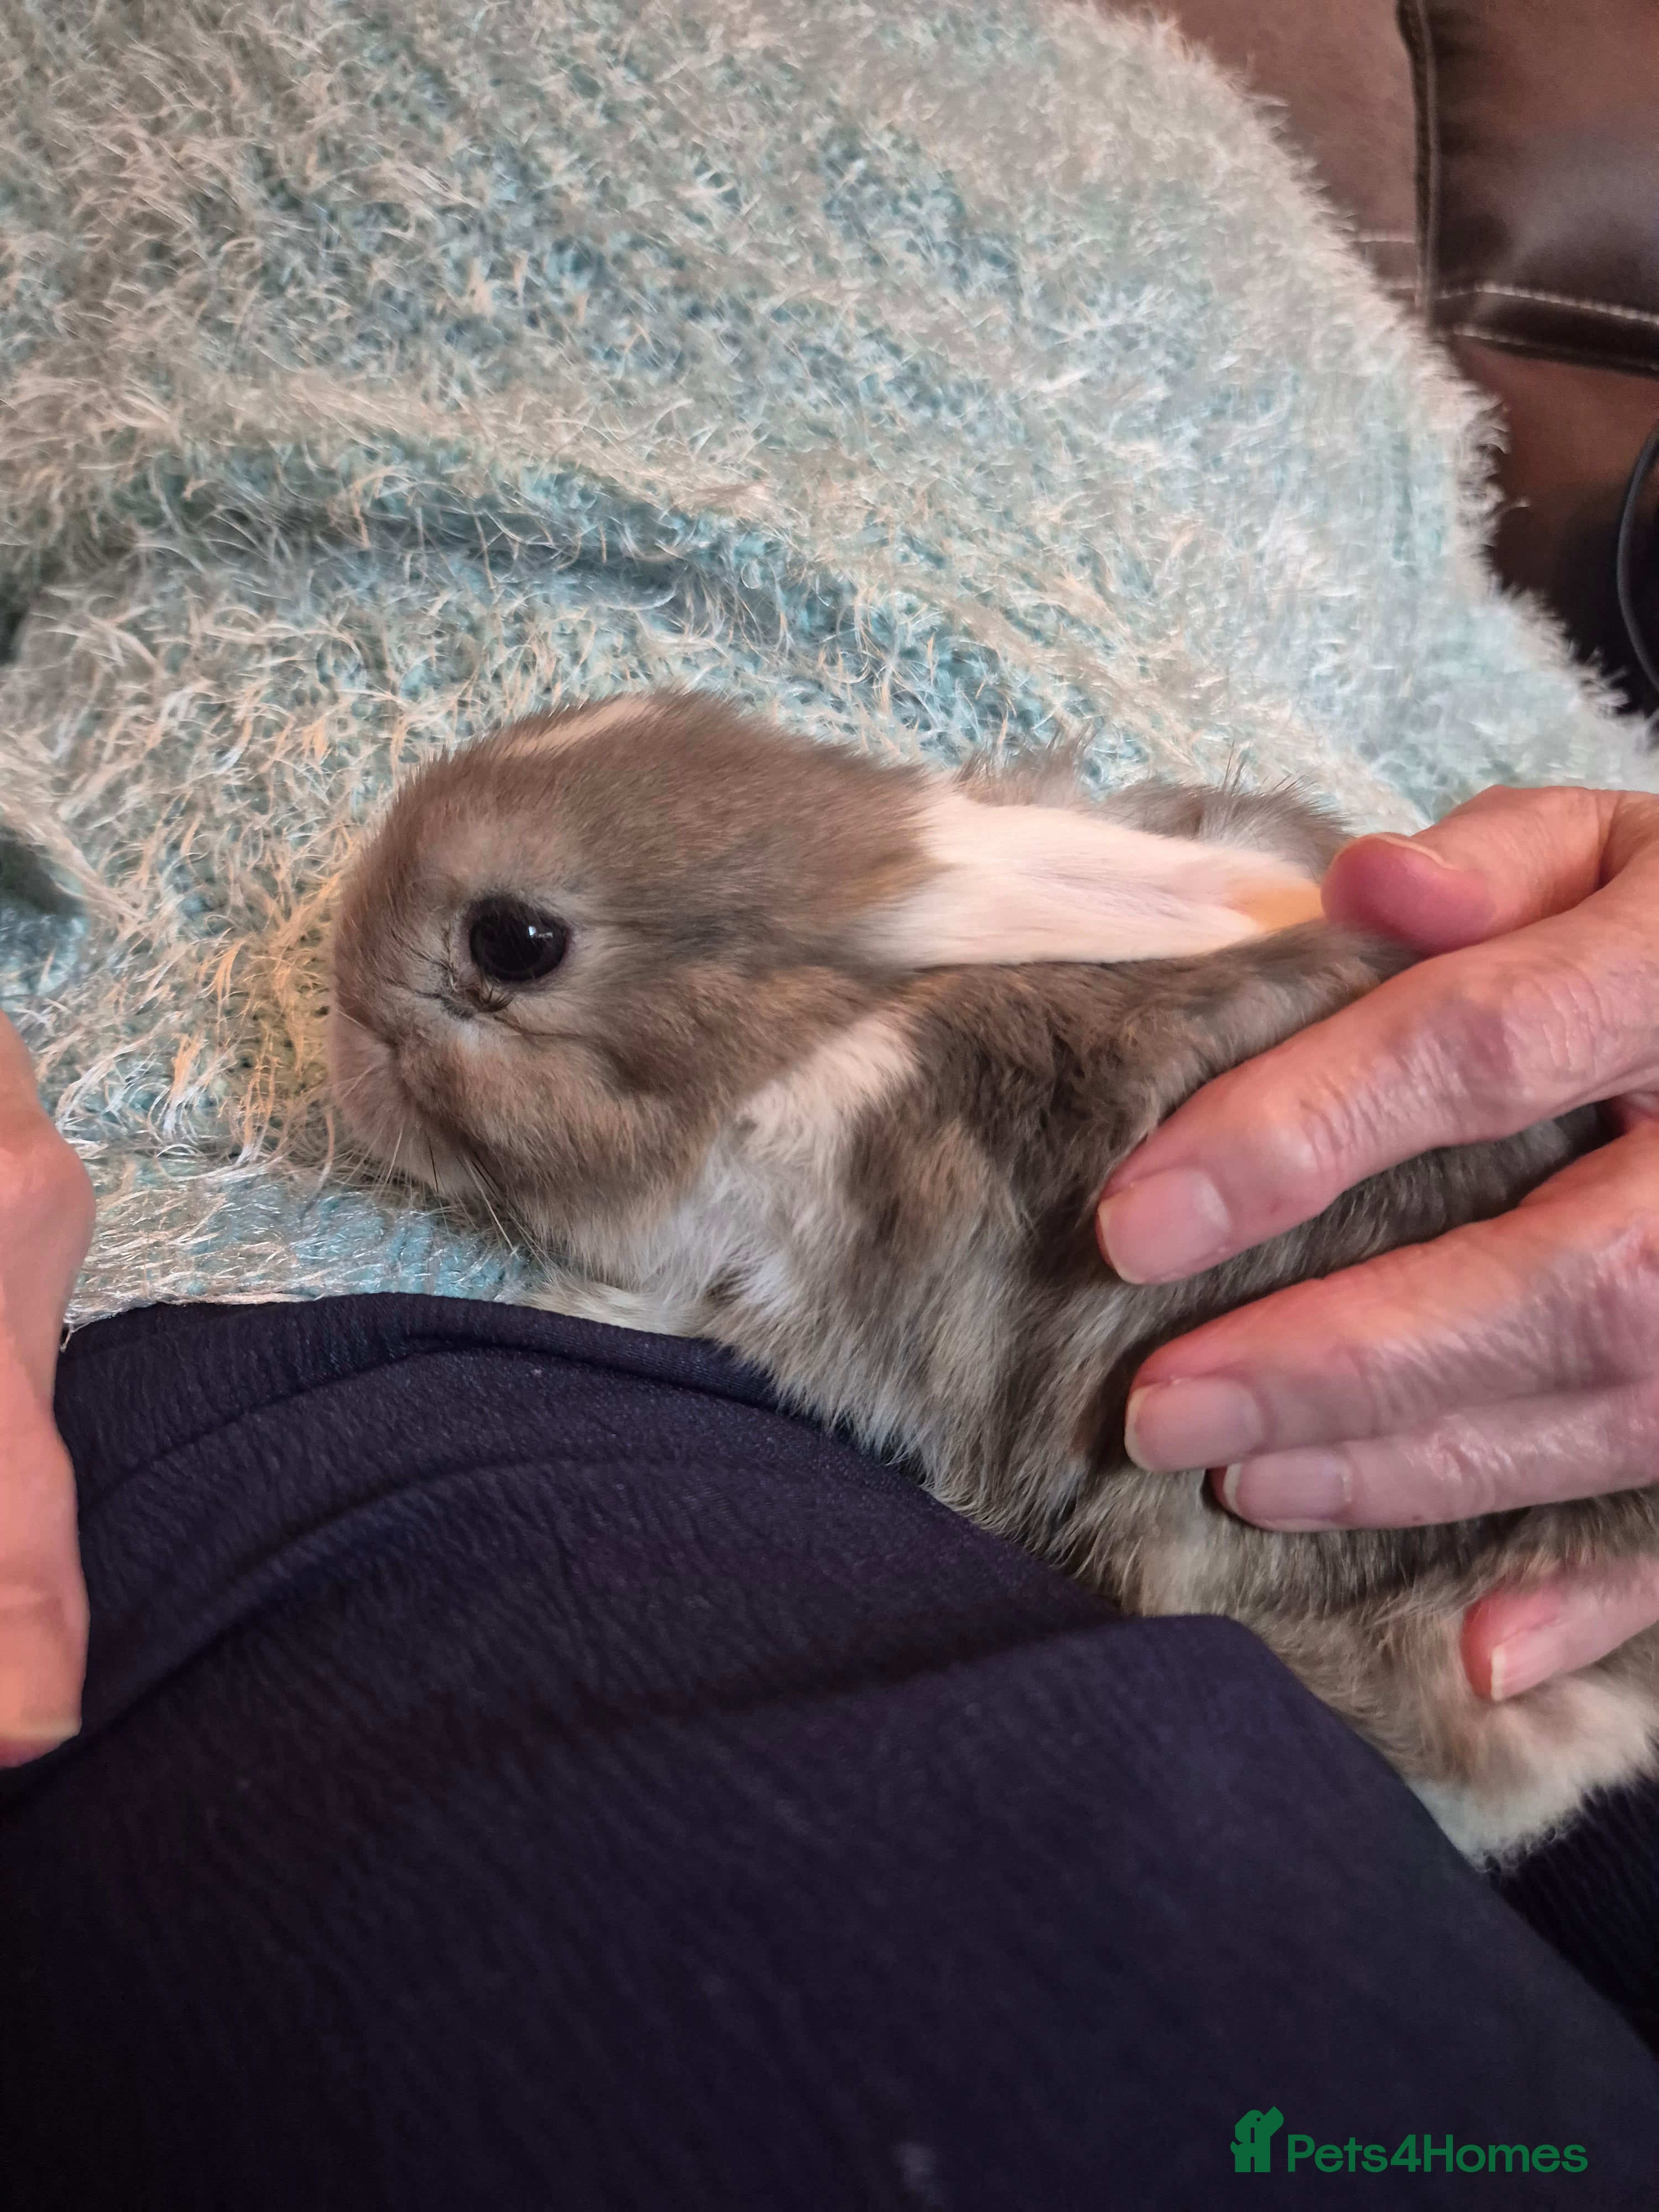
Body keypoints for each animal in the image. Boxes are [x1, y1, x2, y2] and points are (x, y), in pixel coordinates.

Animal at [326, 692, 1659, 1862]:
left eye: (514, 942)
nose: (336, 1022)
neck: (814, 1028)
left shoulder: (780, 1261)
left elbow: (689, 1303)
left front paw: (556, 1300)